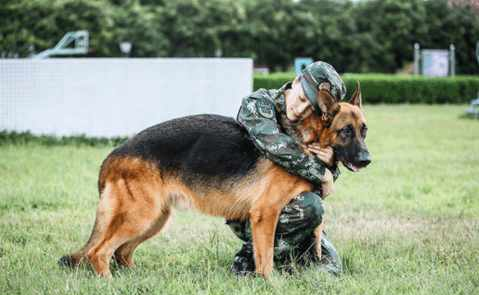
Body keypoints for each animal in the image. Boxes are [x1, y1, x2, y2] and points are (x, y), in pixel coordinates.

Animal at [59, 82, 372, 278]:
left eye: (364, 130)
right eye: (346, 131)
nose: (367, 159)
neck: (308, 140)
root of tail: (113, 155)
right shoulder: (266, 214)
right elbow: (267, 259)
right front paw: (269, 283)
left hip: (155, 219)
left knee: (121, 252)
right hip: (140, 216)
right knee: (99, 252)